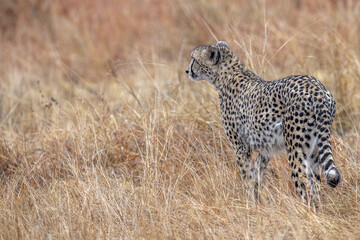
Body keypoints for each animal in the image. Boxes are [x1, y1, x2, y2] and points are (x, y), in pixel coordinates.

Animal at [186, 41, 340, 206]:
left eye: (194, 59)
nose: (187, 70)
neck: (228, 75)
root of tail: (317, 87)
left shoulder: (241, 147)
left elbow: (246, 177)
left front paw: (248, 204)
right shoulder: (265, 149)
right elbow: (256, 174)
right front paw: (257, 201)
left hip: (295, 147)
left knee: (303, 179)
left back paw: (307, 209)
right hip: (315, 147)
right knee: (316, 181)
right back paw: (317, 208)